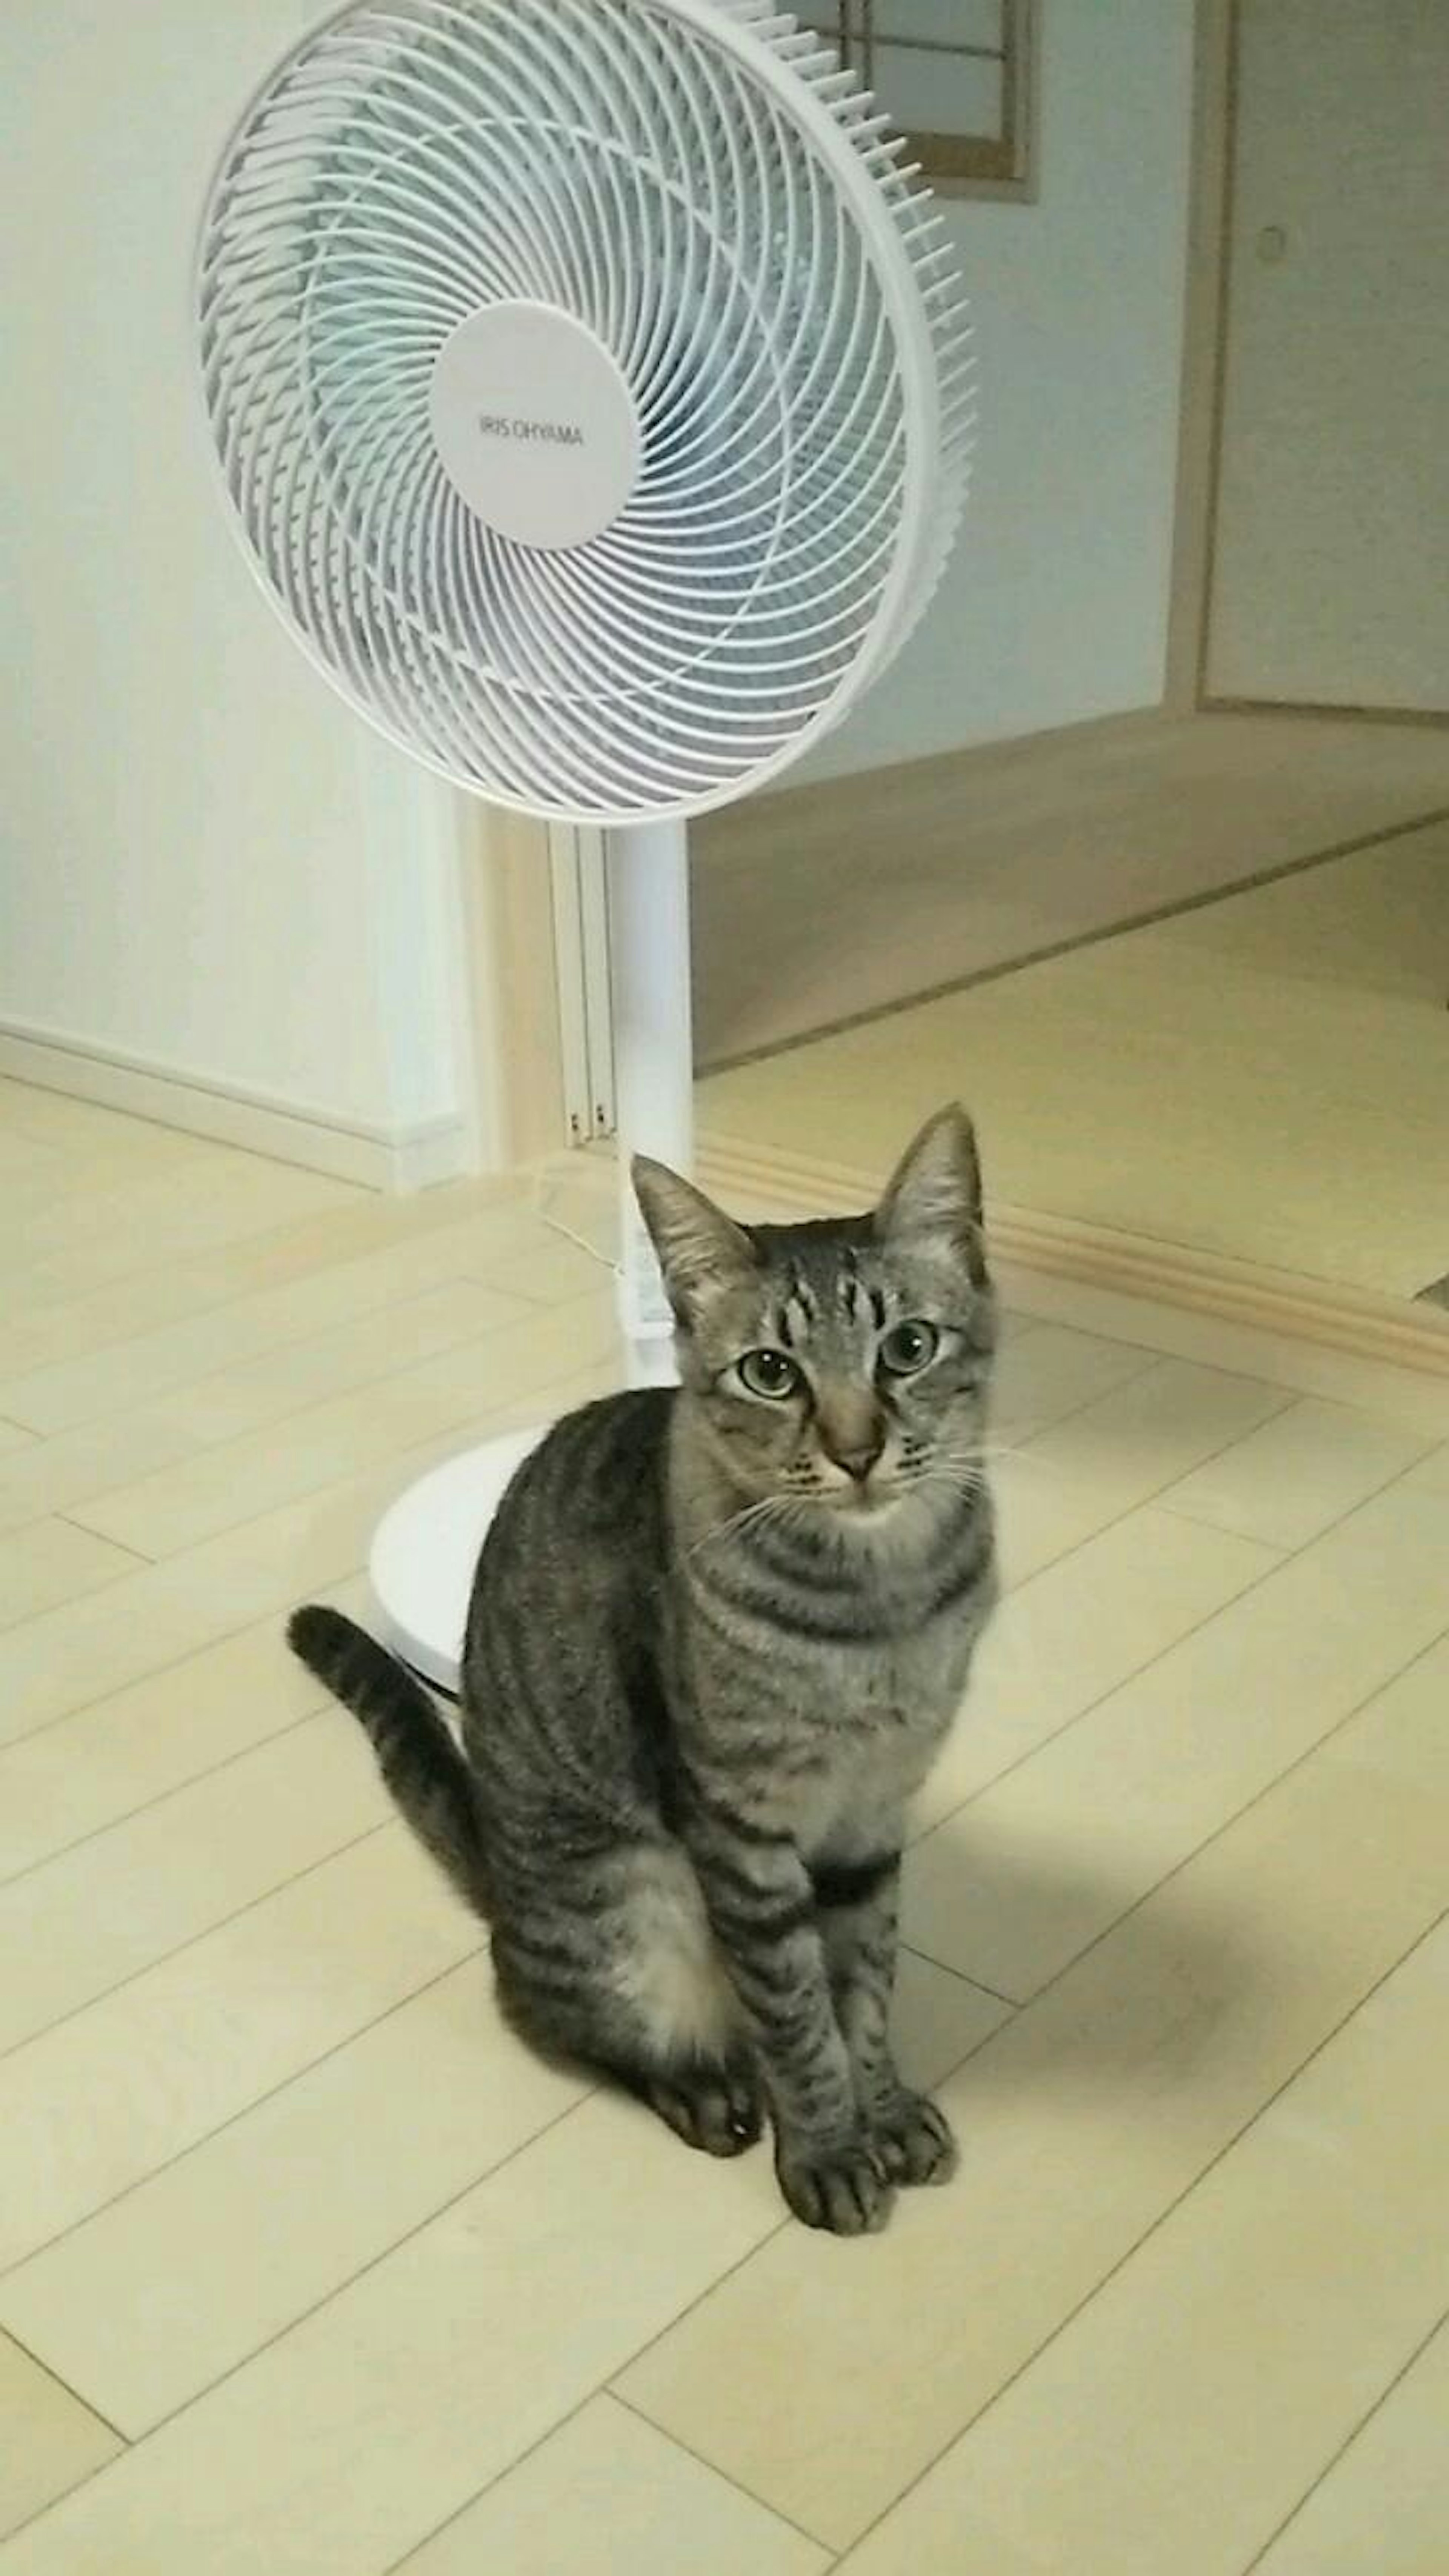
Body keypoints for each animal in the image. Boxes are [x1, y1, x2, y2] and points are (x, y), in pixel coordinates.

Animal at [289, 1107, 1000, 2236]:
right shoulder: (741, 1829)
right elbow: (797, 2013)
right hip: (626, 1906)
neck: (878, 1610)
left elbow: (866, 1981)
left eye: (908, 1347)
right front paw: (830, 2148)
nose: (857, 1450)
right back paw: (700, 2085)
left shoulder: (875, 1811)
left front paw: (882, 2107)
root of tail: (499, 1878)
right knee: (549, 2013)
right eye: (771, 1372)